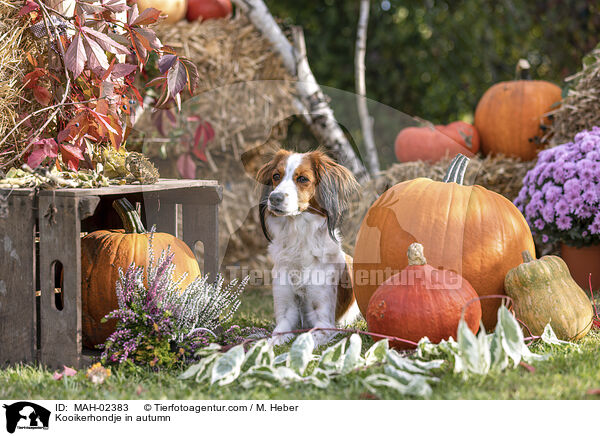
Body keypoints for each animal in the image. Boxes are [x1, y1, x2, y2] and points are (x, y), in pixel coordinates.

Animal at [255, 148, 358, 346]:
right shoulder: (286, 315)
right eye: (276, 176)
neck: (298, 239)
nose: (274, 198)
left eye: (303, 178)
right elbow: (272, 338)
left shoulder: (324, 322)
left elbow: (306, 338)